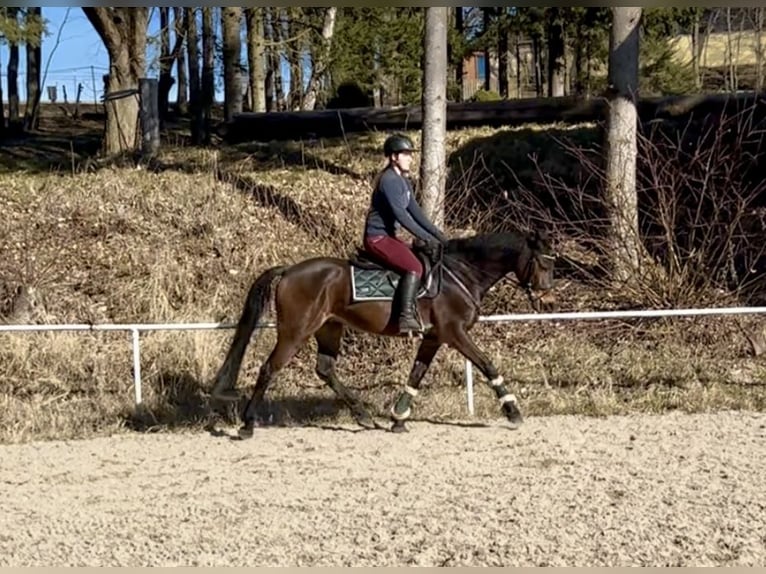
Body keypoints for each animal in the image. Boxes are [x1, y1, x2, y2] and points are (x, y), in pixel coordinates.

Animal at [210, 227, 560, 438]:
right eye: (544, 264)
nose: (549, 300)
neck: (461, 273)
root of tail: (288, 271)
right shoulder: (454, 333)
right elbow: (488, 365)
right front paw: (513, 411)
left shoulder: (433, 337)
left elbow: (416, 375)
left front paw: (398, 417)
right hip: (296, 331)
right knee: (269, 368)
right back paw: (247, 425)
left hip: (329, 328)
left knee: (325, 369)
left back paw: (363, 415)